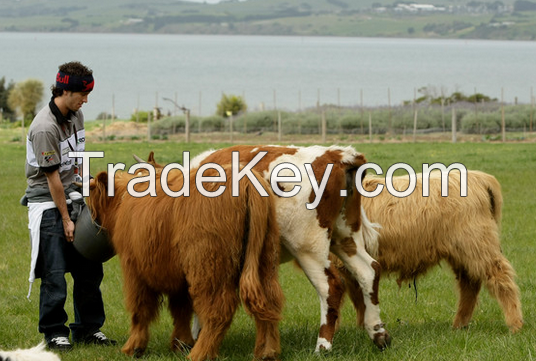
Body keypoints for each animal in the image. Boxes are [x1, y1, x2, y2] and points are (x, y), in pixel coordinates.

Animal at [140, 145, 392, 350]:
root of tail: (338, 155)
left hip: (308, 247)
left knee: (330, 286)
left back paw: (323, 345)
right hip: (345, 237)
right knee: (369, 271)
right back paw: (377, 332)